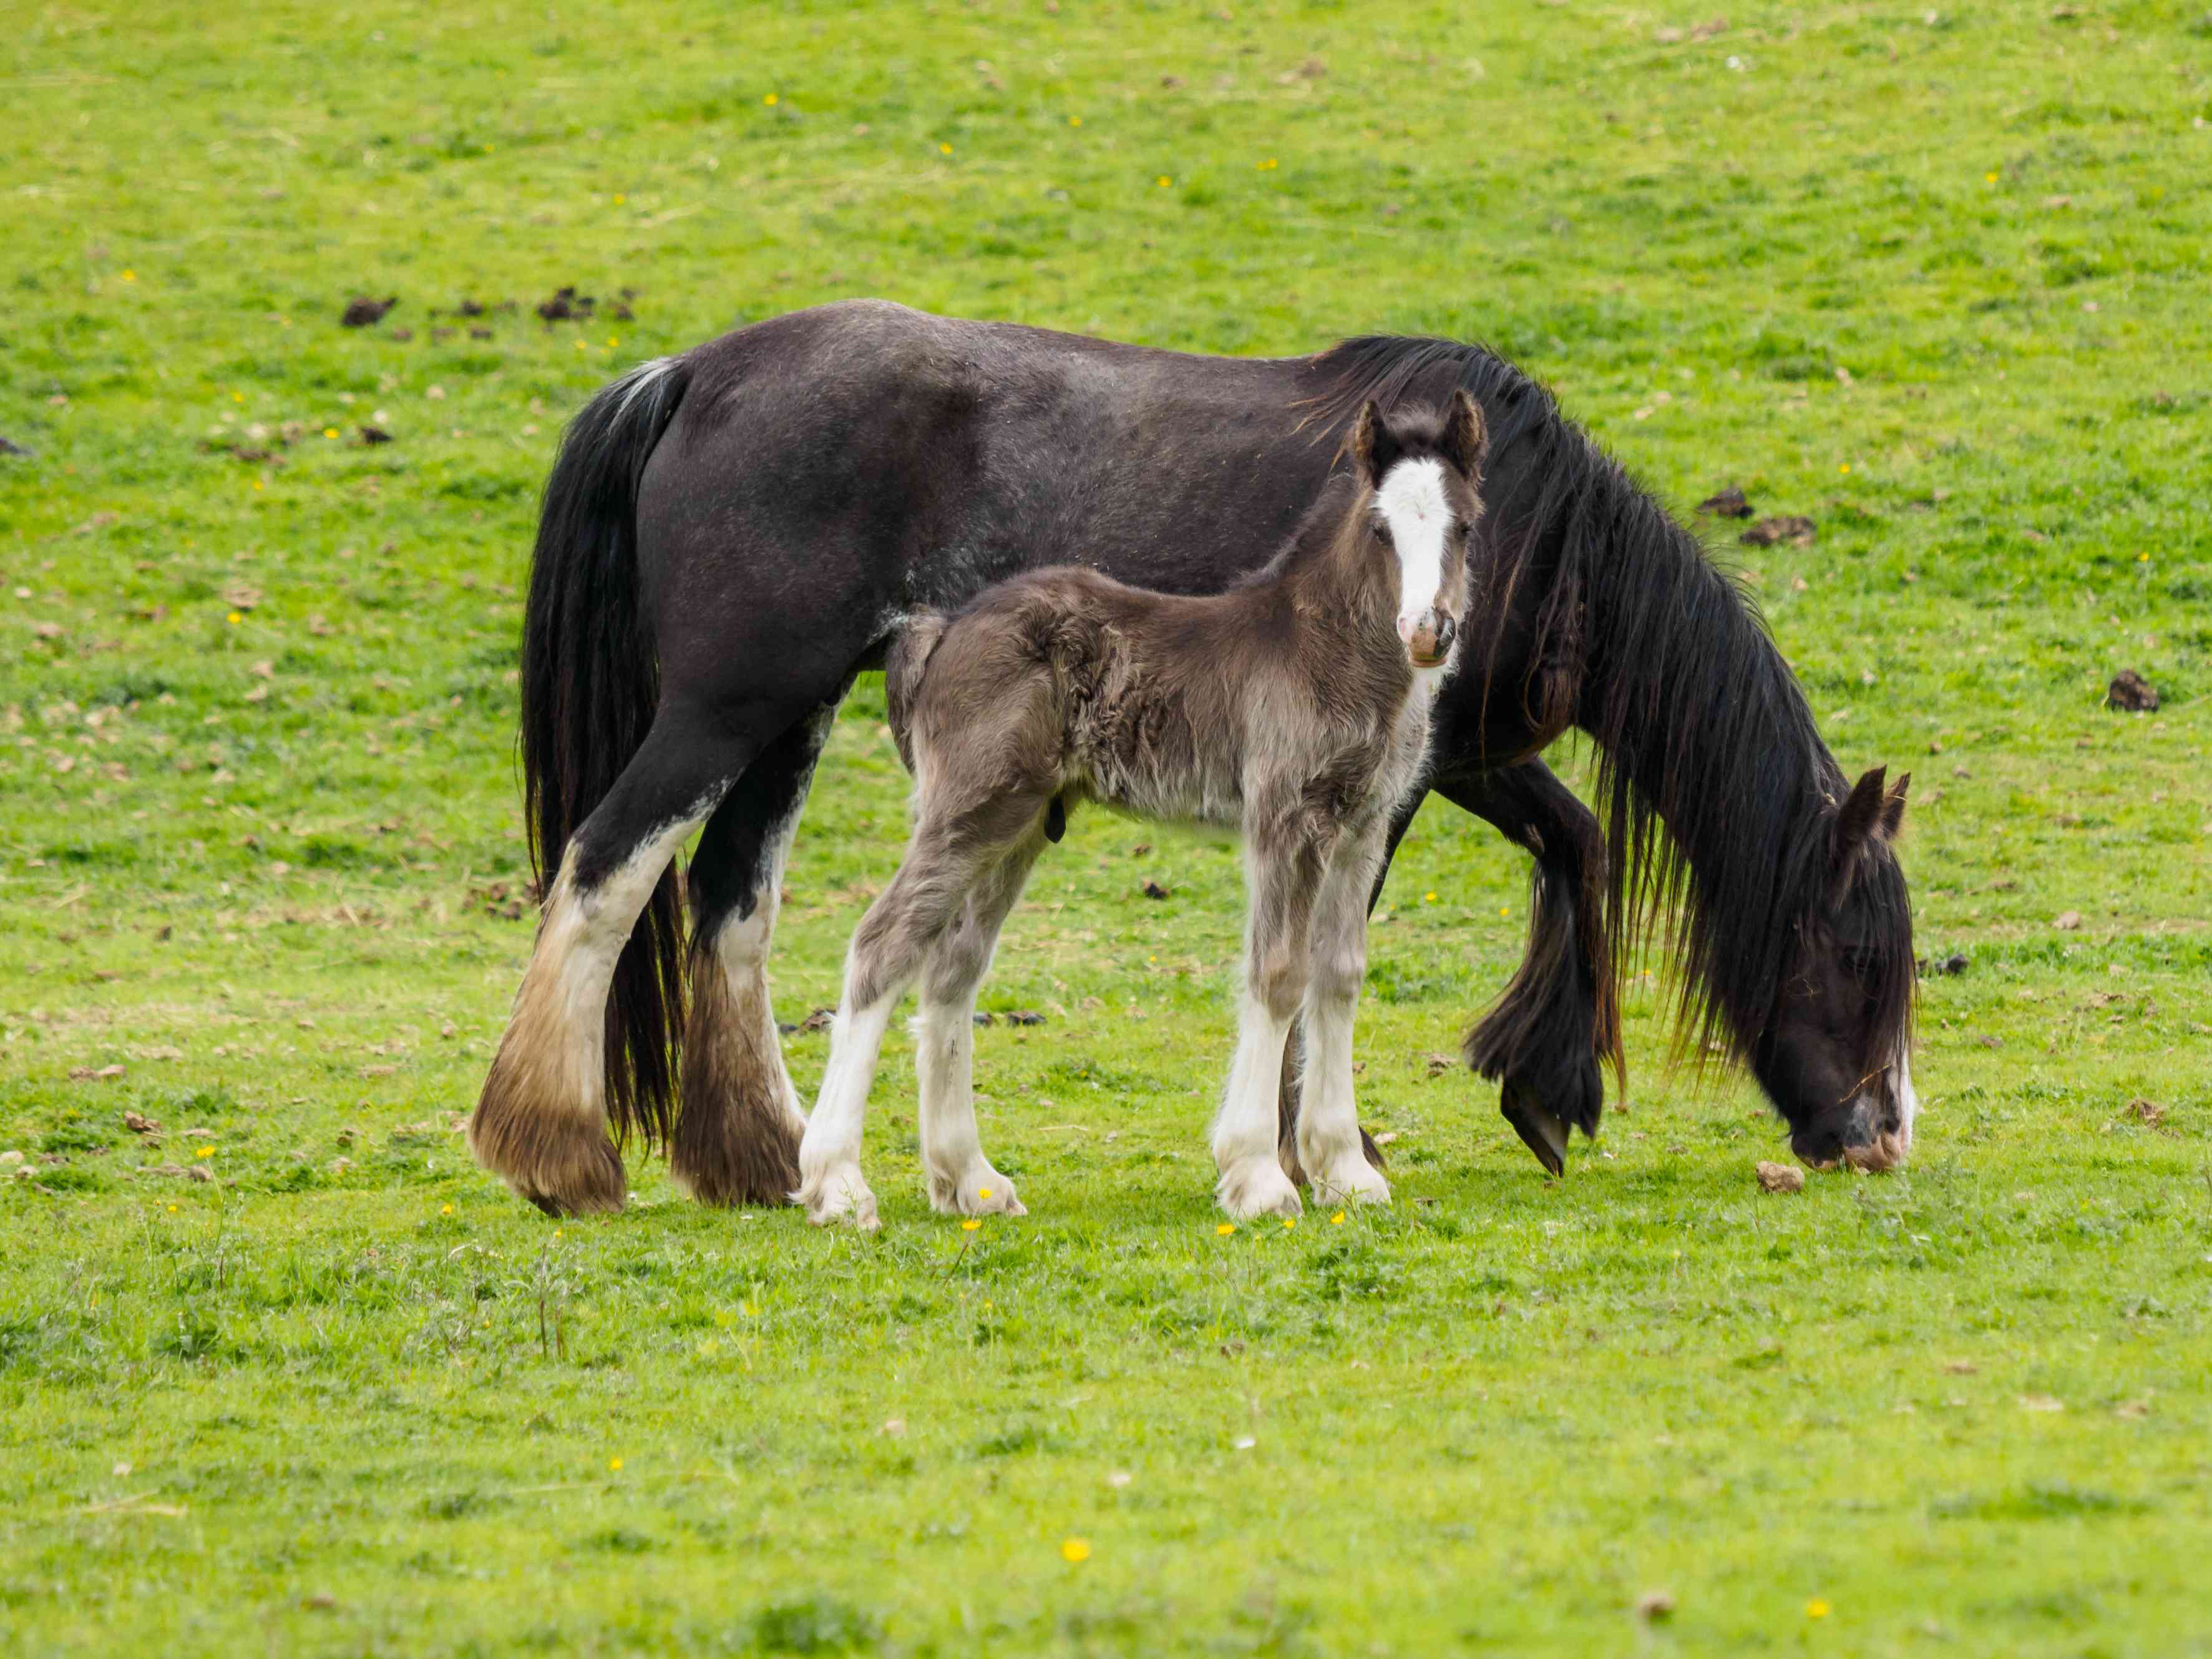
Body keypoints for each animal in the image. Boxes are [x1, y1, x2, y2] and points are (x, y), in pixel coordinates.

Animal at [471, 298, 1920, 1212]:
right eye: (1852, 956)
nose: (1880, 1133)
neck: (1536, 535)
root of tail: (689, 374)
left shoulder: (1445, 755)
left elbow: (1570, 838)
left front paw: (1537, 1090)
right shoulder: (1383, 778)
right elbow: (1321, 958)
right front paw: (1307, 1147)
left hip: (792, 718)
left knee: (733, 902)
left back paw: (768, 1161)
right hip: (728, 705)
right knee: (606, 868)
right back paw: (560, 1155)